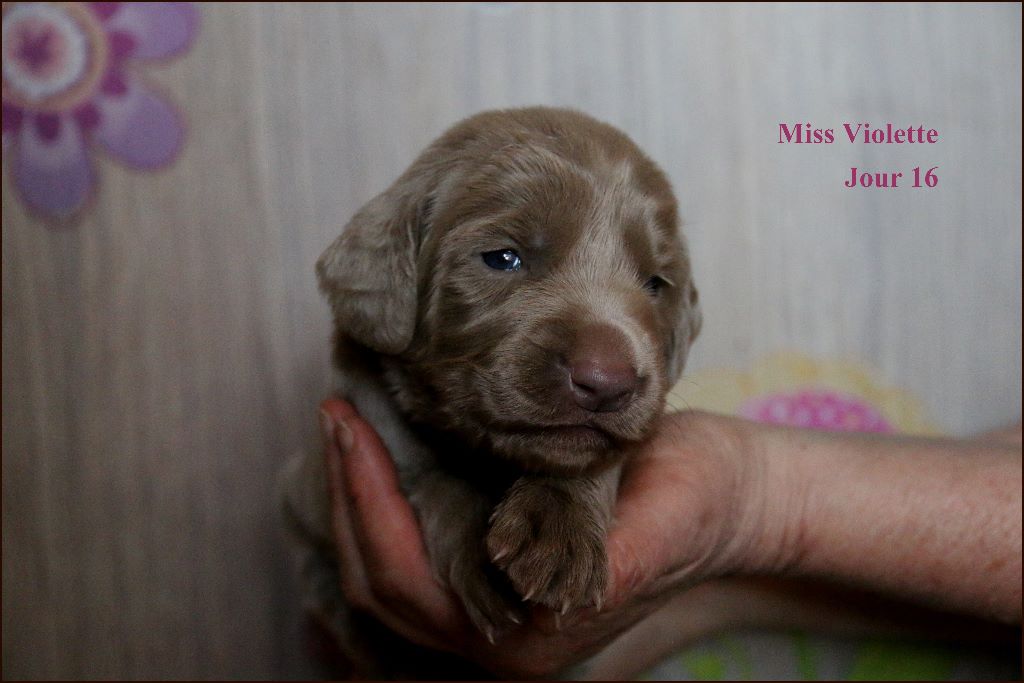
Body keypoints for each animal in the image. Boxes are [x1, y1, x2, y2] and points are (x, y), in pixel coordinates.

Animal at [286, 107, 704, 671]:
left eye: (656, 283)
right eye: (503, 258)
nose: (606, 383)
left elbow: (590, 459)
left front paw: (558, 526)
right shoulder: (378, 427)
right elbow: (437, 478)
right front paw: (486, 565)